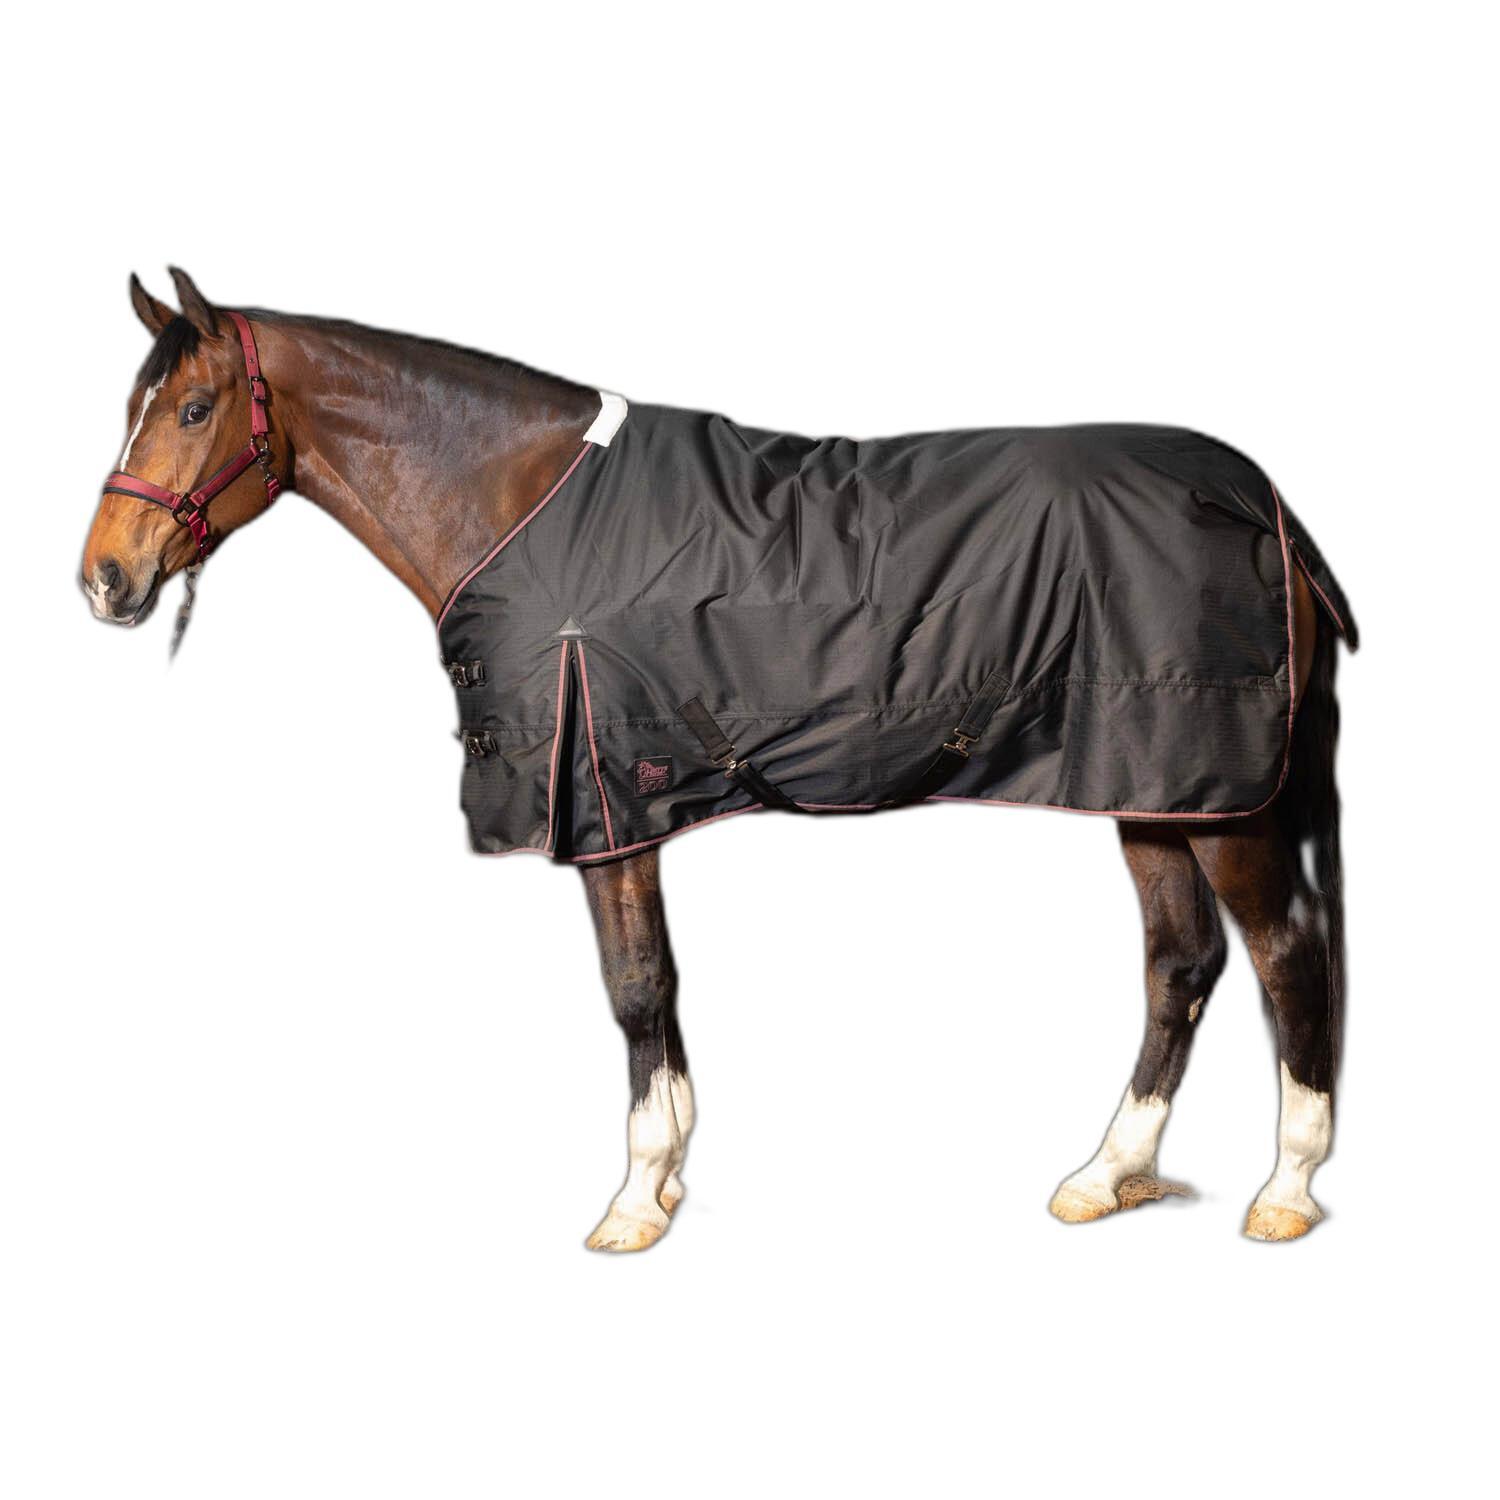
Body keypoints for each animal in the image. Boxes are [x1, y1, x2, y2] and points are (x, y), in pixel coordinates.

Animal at [81, 269, 1354, 1250]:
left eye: (192, 407)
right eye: (141, 404)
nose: (104, 577)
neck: (524, 503)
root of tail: (1265, 503)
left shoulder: (606, 802)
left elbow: (638, 987)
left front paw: (636, 1196)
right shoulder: (623, 802)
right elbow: (655, 988)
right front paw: (669, 1179)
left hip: (1225, 801)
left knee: (1286, 953)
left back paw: (1286, 1190)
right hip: (1153, 786)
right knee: (1181, 965)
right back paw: (1104, 1175)